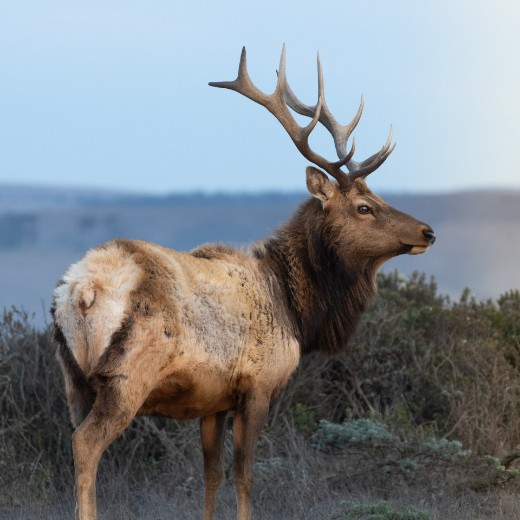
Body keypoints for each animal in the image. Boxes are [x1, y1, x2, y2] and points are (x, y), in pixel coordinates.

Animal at [51, 45, 434, 520]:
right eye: (364, 207)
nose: (427, 232)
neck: (297, 309)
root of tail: (80, 291)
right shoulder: (258, 386)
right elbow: (245, 475)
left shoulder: (211, 400)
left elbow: (211, 474)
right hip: (126, 377)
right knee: (86, 444)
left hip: (74, 380)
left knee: (74, 439)